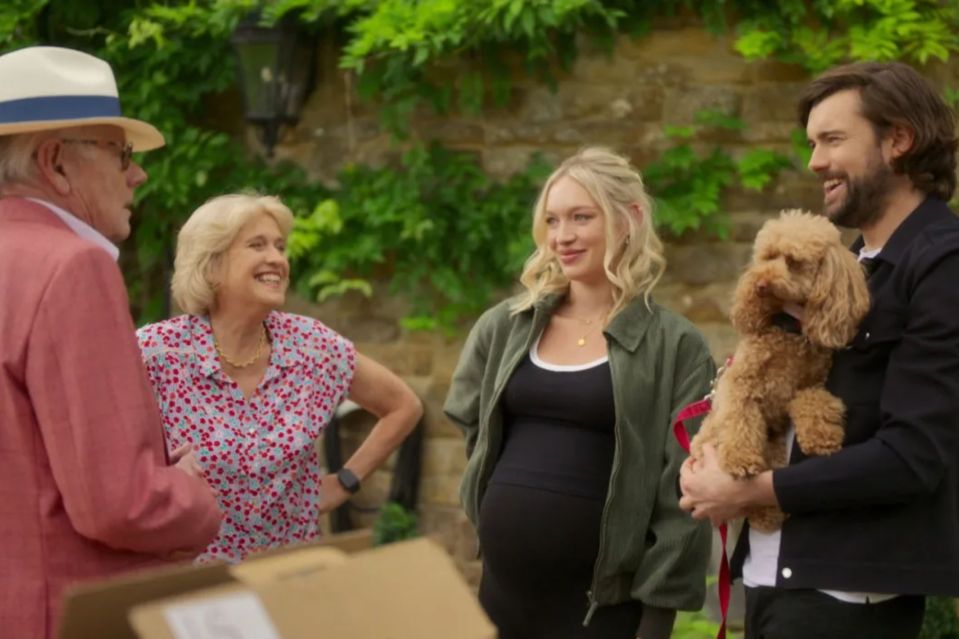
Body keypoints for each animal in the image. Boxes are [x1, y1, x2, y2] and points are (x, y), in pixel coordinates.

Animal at [692, 209, 872, 528]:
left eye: (793, 261)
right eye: (767, 257)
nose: (760, 284)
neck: (790, 329)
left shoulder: (812, 383)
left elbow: (813, 402)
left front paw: (821, 437)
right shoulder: (742, 382)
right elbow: (740, 420)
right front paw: (740, 460)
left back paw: (768, 512)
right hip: (711, 435)